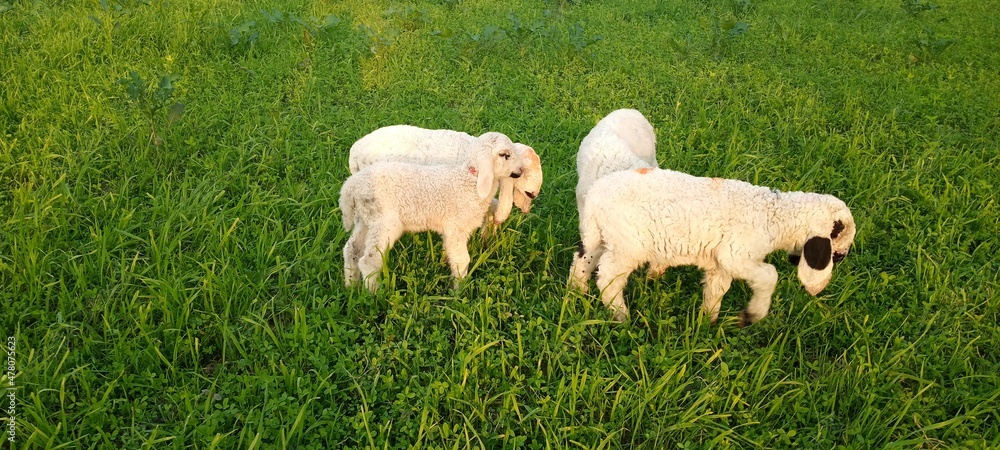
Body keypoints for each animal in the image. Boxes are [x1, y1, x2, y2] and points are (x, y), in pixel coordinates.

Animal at [340, 143, 525, 292]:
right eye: (504, 154)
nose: (521, 171)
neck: (470, 181)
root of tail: (350, 187)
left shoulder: (450, 232)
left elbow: (451, 255)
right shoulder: (456, 228)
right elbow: (462, 260)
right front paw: (459, 292)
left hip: (365, 219)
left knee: (351, 249)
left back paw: (351, 286)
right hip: (384, 222)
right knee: (369, 260)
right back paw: (374, 295)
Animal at [568, 167, 856, 325]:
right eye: (837, 256)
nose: (818, 291)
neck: (775, 216)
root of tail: (595, 195)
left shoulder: (720, 264)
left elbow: (717, 290)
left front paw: (708, 322)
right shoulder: (736, 255)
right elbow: (769, 275)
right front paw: (753, 314)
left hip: (600, 234)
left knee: (582, 258)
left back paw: (576, 292)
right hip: (628, 244)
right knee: (608, 277)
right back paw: (620, 316)